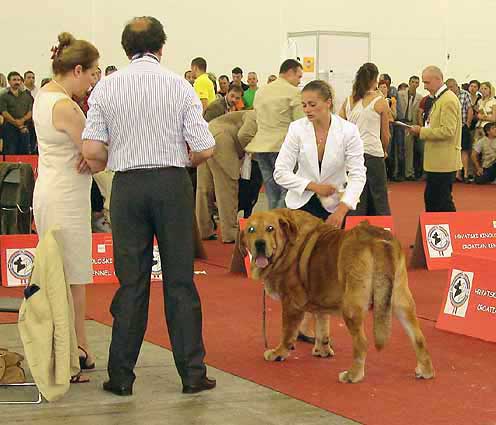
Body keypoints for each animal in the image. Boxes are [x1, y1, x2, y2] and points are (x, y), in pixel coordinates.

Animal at [240, 210, 434, 384]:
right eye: (251, 230)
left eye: (270, 228)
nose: (259, 244)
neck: (287, 244)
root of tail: (380, 241)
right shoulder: (320, 300)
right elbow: (322, 326)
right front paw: (323, 350)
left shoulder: (291, 303)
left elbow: (287, 332)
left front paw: (278, 353)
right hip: (402, 300)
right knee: (418, 337)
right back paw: (425, 371)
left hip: (351, 307)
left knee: (361, 343)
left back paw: (352, 375)